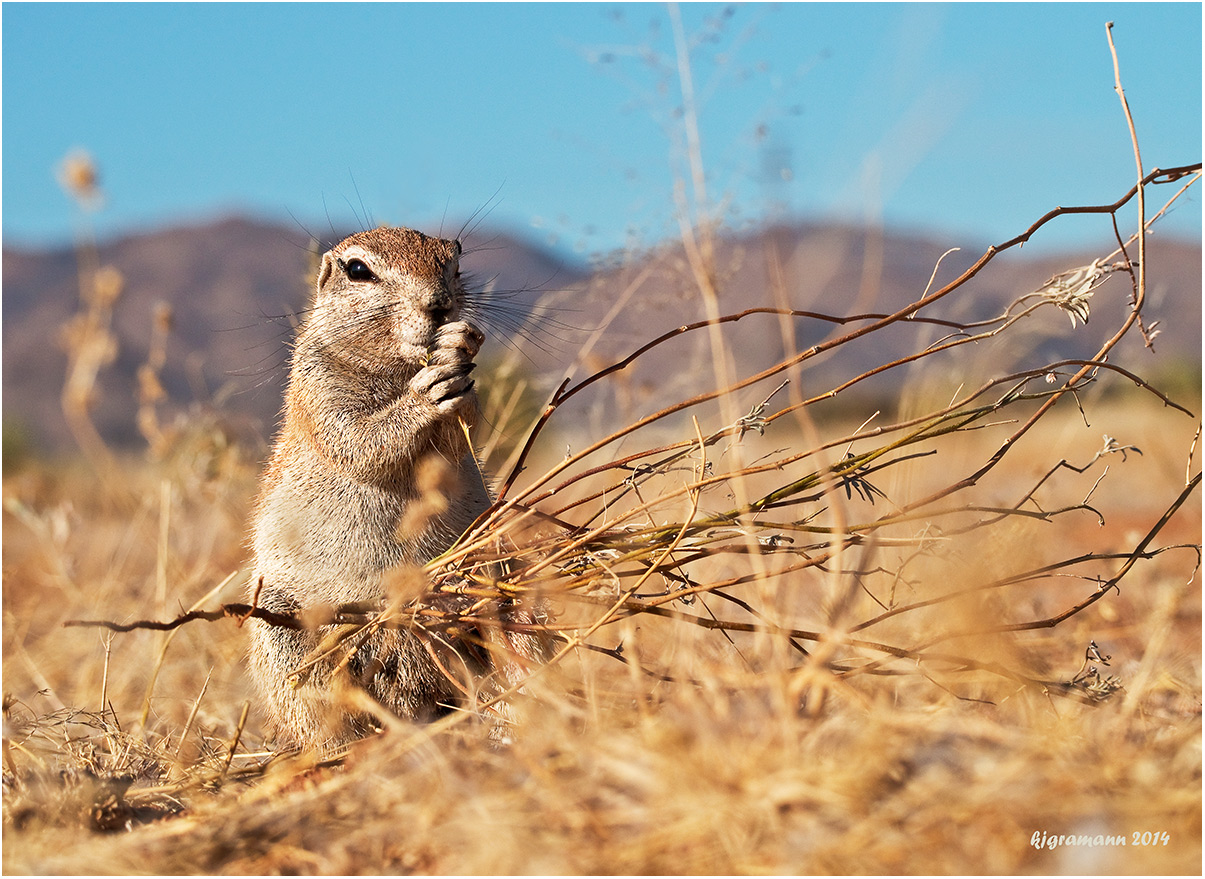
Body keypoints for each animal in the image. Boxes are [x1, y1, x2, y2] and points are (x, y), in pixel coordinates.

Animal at [244, 224, 527, 747]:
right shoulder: (317, 388)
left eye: (455, 261)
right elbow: (360, 438)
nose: (440, 305)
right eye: (358, 270)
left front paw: (460, 345)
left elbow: (462, 433)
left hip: (505, 582)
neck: (397, 368)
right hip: (283, 633)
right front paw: (426, 393)